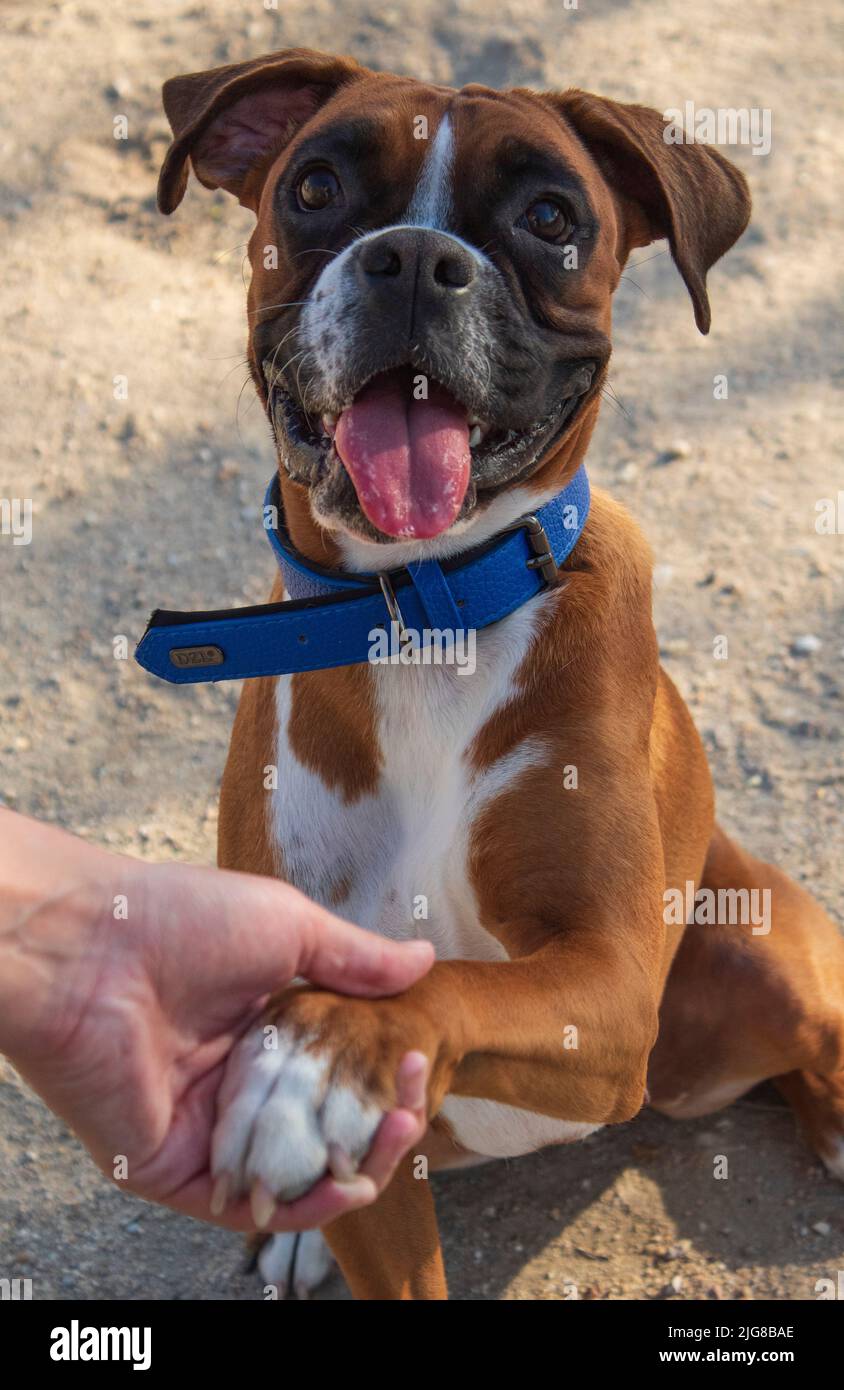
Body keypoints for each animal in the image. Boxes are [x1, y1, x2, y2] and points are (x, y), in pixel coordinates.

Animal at [151, 46, 844, 1301]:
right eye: (316, 187)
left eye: (551, 218)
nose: (417, 261)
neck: (423, 606)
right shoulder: (376, 1169)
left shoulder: (605, 984)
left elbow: (444, 981)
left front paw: (310, 1057)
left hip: (756, 950)